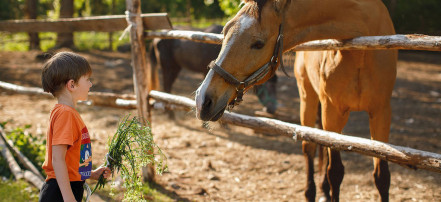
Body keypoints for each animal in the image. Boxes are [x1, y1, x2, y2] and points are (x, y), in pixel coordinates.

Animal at [194, 0, 398, 201]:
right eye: (225, 31)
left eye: (258, 43)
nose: (203, 100)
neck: (362, 49)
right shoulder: (332, 112)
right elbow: (335, 172)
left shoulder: (381, 113)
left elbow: (382, 177)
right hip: (309, 99)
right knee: (309, 147)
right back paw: (312, 192)